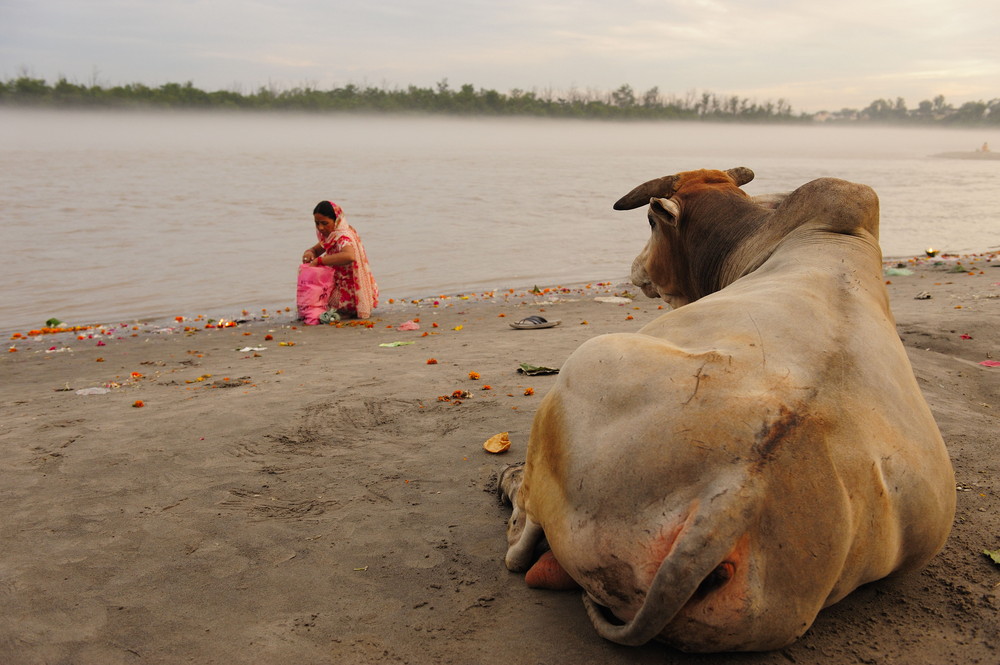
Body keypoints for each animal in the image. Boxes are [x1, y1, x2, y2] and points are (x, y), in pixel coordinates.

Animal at [498, 169, 952, 652]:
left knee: (521, 544)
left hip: (585, 362)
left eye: (651, 224)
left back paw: (509, 486)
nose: (636, 269)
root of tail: (732, 500)